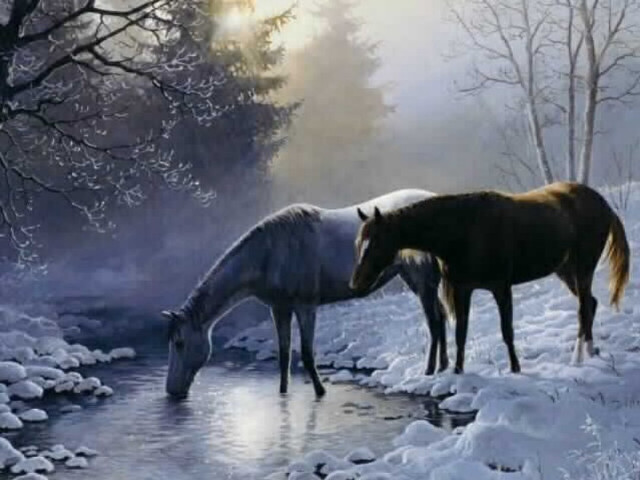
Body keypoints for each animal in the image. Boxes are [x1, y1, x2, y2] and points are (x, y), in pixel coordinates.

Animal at [161, 189, 448, 398]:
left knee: (434, 323)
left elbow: (308, 354)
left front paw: (320, 392)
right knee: (442, 319)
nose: (172, 391)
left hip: (422, 280)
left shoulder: (305, 306)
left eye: (179, 343)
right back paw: (443, 368)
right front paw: (283, 394)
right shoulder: (279, 308)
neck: (271, 253)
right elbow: (284, 354)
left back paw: (429, 372)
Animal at [350, 182, 630, 374]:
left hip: (583, 268)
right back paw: (588, 354)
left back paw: (579, 358)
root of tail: (602, 203)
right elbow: (461, 333)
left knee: (584, 308)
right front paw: (458, 371)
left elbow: (507, 331)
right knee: (590, 304)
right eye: (359, 244)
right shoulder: (462, 289)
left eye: (375, 244)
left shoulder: (500, 288)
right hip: (565, 270)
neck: (463, 230)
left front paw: (516, 370)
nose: (356, 284)